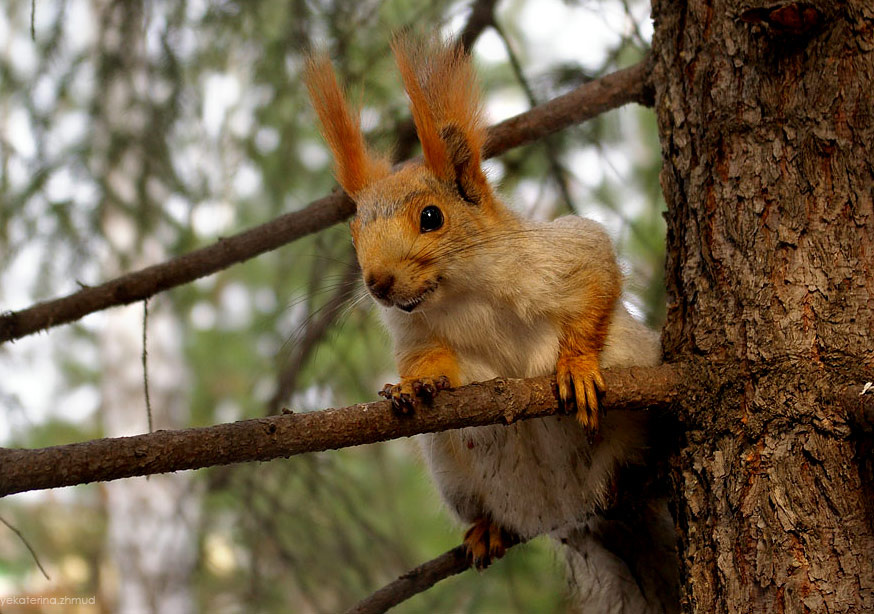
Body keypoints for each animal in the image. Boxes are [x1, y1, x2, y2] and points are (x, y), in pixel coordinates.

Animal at [305, 35, 677, 613]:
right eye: (354, 232)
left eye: (431, 217)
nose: (377, 283)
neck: (462, 294)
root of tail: (572, 510)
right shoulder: (415, 332)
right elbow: (425, 360)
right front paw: (416, 385)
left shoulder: (562, 252)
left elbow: (596, 277)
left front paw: (576, 367)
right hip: (456, 475)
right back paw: (489, 528)